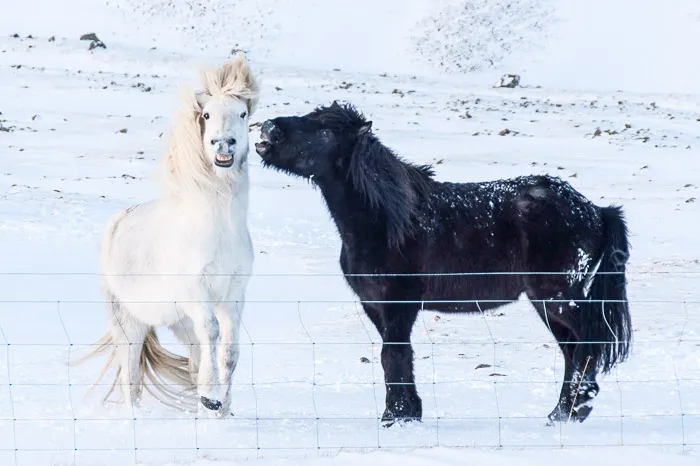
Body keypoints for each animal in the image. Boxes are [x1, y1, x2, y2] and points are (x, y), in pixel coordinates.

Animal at [80, 54, 259, 417]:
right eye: (207, 115)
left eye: (243, 114)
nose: (223, 145)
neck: (219, 230)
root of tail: (117, 222)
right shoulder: (196, 294)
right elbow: (213, 333)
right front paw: (212, 397)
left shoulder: (234, 296)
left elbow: (229, 351)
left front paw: (221, 407)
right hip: (129, 324)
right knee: (131, 378)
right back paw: (134, 418)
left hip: (180, 322)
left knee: (191, 360)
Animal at [255, 101, 632, 426]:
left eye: (325, 130)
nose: (269, 129)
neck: (387, 222)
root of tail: (597, 211)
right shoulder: (374, 305)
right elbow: (400, 356)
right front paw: (409, 413)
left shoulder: (399, 304)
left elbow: (392, 356)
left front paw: (395, 417)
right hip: (547, 303)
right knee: (572, 348)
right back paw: (562, 413)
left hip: (557, 296)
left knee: (588, 340)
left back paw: (578, 406)